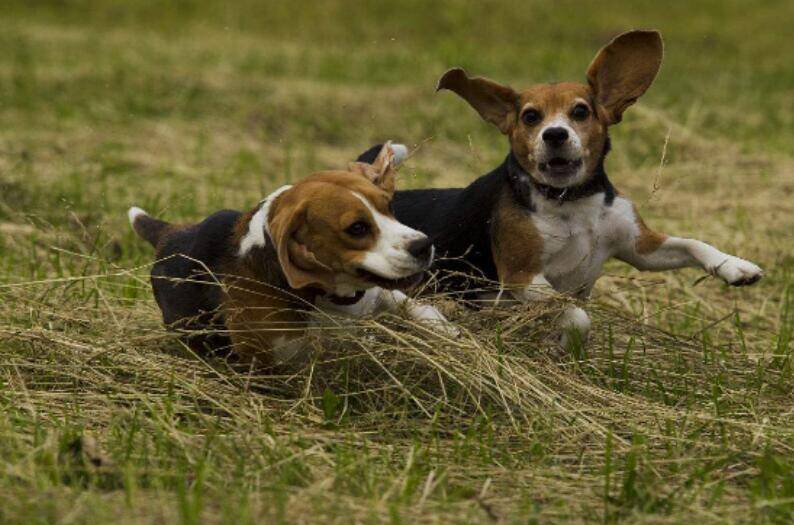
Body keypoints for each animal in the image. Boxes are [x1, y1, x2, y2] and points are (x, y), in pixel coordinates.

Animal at [131, 143, 452, 364]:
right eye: (357, 228)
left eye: (389, 206)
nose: (423, 245)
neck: (323, 295)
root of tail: (169, 233)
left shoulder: (377, 295)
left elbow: (414, 306)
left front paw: (446, 330)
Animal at [356, 30, 756, 346]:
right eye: (531, 117)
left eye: (580, 112)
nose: (555, 134)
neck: (572, 202)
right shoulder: (523, 279)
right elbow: (574, 313)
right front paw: (566, 343)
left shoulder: (639, 247)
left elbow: (691, 244)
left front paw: (735, 267)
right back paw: (436, 323)